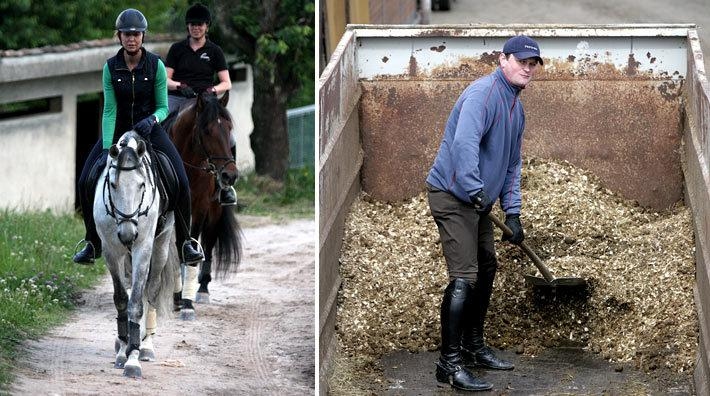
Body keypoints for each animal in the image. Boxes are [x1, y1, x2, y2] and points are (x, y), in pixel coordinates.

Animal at [163, 90, 243, 316]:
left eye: (229, 128)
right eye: (207, 131)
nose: (229, 176)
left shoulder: (199, 206)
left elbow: (190, 242)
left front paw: (185, 300)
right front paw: (176, 295)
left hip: (214, 210)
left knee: (208, 242)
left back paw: (202, 289)